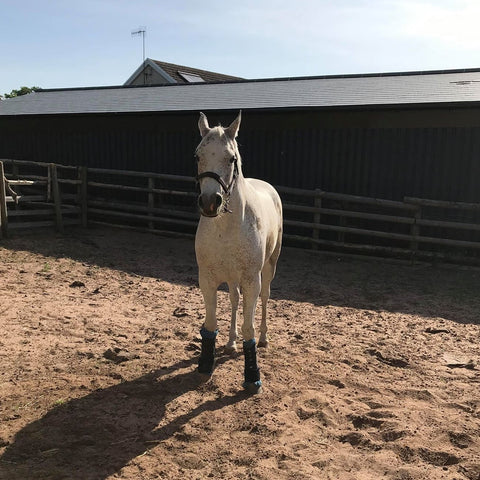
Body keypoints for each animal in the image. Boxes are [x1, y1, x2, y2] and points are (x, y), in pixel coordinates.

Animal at [195, 112, 284, 394]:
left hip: (268, 268)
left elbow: (249, 327)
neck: (226, 227)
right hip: (232, 278)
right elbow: (211, 323)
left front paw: (252, 376)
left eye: (232, 158)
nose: (210, 203)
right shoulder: (208, 278)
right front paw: (206, 364)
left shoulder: (251, 280)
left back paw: (264, 338)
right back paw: (231, 342)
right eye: (198, 155)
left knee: (265, 298)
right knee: (234, 300)